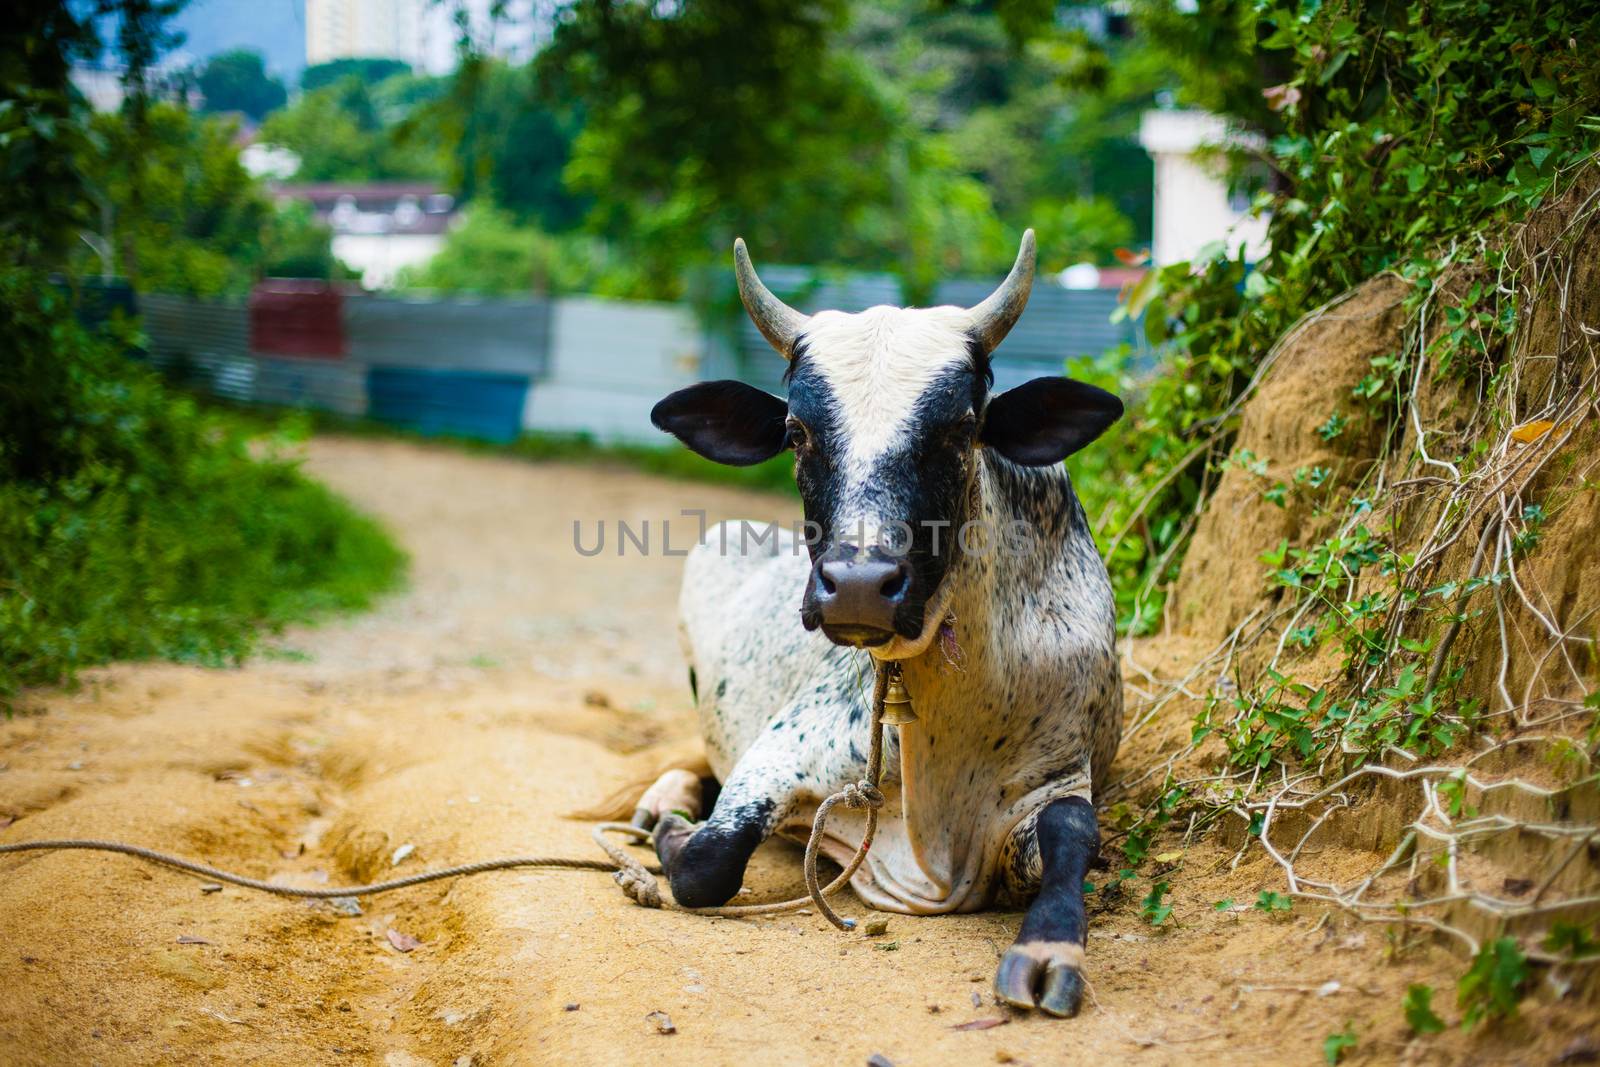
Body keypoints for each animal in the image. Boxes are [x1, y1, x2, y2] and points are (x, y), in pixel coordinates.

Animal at [636, 233, 1126, 1017]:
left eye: (961, 427)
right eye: (796, 432)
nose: (860, 589)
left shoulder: (1059, 774)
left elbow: (1075, 835)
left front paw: (1050, 948)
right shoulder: (780, 752)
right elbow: (708, 861)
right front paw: (675, 834)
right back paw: (667, 797)